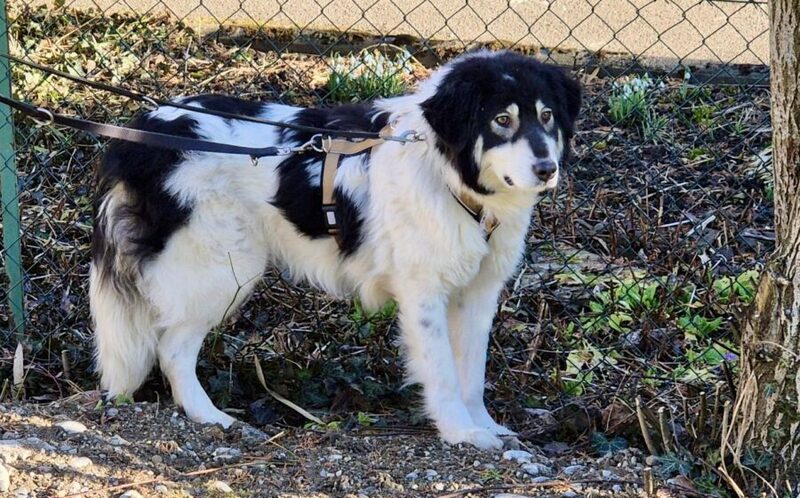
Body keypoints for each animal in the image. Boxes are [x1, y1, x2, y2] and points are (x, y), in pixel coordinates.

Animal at [90, 50, 581, 449]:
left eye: (547, 116)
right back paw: (211, 417)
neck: (444, 171)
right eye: (501, 120)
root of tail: (143, 131)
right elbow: (442, 371)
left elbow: (472, 375)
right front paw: (461, 432)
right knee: (173, 349)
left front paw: (484, 425)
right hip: (221, 268)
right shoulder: (423, 295)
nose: (547, 168)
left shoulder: (478, 295)